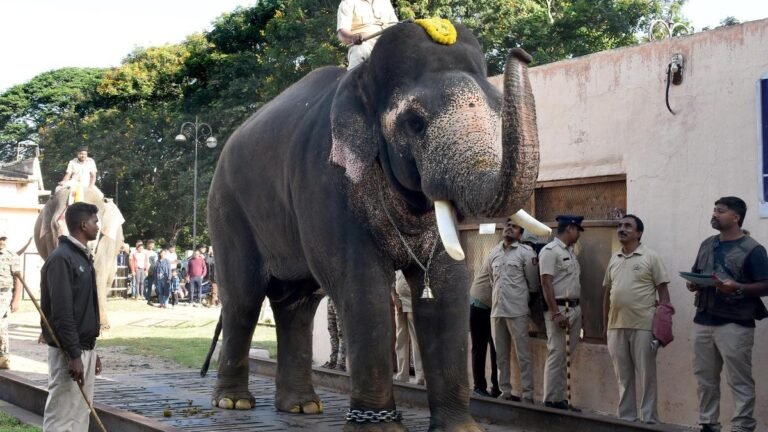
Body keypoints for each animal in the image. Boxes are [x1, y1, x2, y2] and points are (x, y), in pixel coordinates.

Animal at [34, 186, 125, 329]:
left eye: (97, 223)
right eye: (55, 225)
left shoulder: (106, 239)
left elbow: (99, 272)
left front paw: (102, 327)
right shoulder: (48, 237)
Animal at [206, 22, 540, 431]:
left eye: (497, 111)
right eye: (415, 122)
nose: (522, 53)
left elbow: (446, 289)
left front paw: (459, 429)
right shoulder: (326, 183)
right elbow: (363, 288)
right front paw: (380, 428)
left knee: (297, 304)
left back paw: (302, 407)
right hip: (227, 211)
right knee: (244, 298)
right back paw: (234, 403)